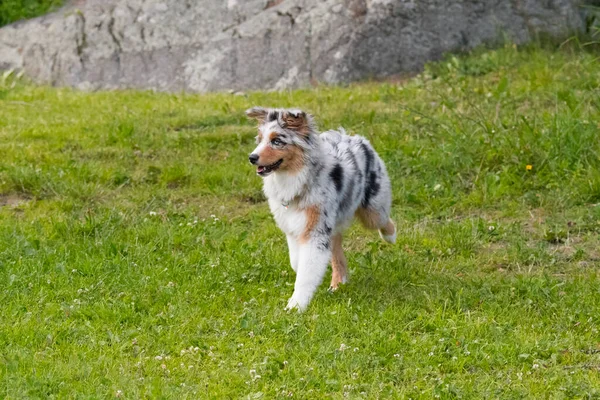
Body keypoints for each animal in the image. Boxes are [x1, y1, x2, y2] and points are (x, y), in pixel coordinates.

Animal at [246, 107, 396, 312]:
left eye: (277, 141)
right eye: (260, 140)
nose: (252, 158)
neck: (297, 180)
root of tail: (354, 138)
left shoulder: (315, 230)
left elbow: (306, 272)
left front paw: (295, 306)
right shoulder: (293, 227)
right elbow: (297, 261)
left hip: (372, 209)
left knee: (383, 220)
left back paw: (390, 236)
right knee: (337, 245)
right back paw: (338, 283)